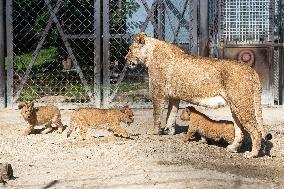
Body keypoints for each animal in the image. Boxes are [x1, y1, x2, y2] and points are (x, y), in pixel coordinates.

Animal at [126, 32, 264, 158]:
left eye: (130, 49)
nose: (125, 59)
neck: (150, 53)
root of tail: (251, 70)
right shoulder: (174, 97)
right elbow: (171, 114)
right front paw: (169, 131)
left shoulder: (158, 93)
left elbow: (156, 114)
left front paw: (153, 132)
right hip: (235, 107)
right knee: (240, 130)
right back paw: (232, 148)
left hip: (242, 106)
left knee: (256, 131)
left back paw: (252, 154)